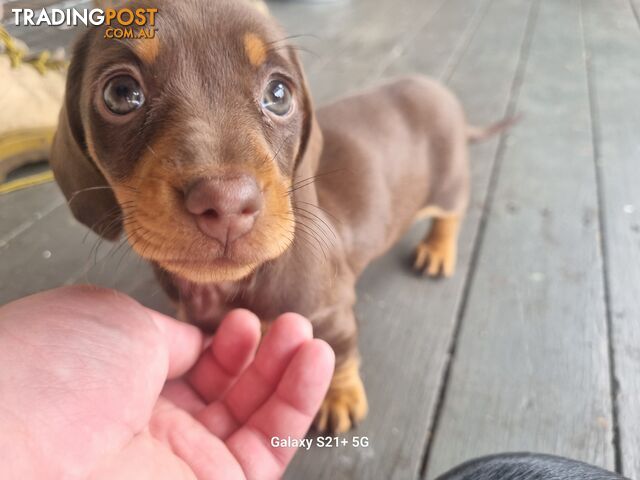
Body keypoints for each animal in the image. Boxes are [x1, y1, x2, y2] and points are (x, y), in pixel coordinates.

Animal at [52, 0, 504, 434]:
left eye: (280, 93)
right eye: (121, 93)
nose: (226, 204)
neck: (232, 285)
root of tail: (438, 91)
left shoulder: (331, 311)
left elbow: (340, 353)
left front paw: (339, 396)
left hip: (448, 184)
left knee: (450, 215)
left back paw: (437, 249)